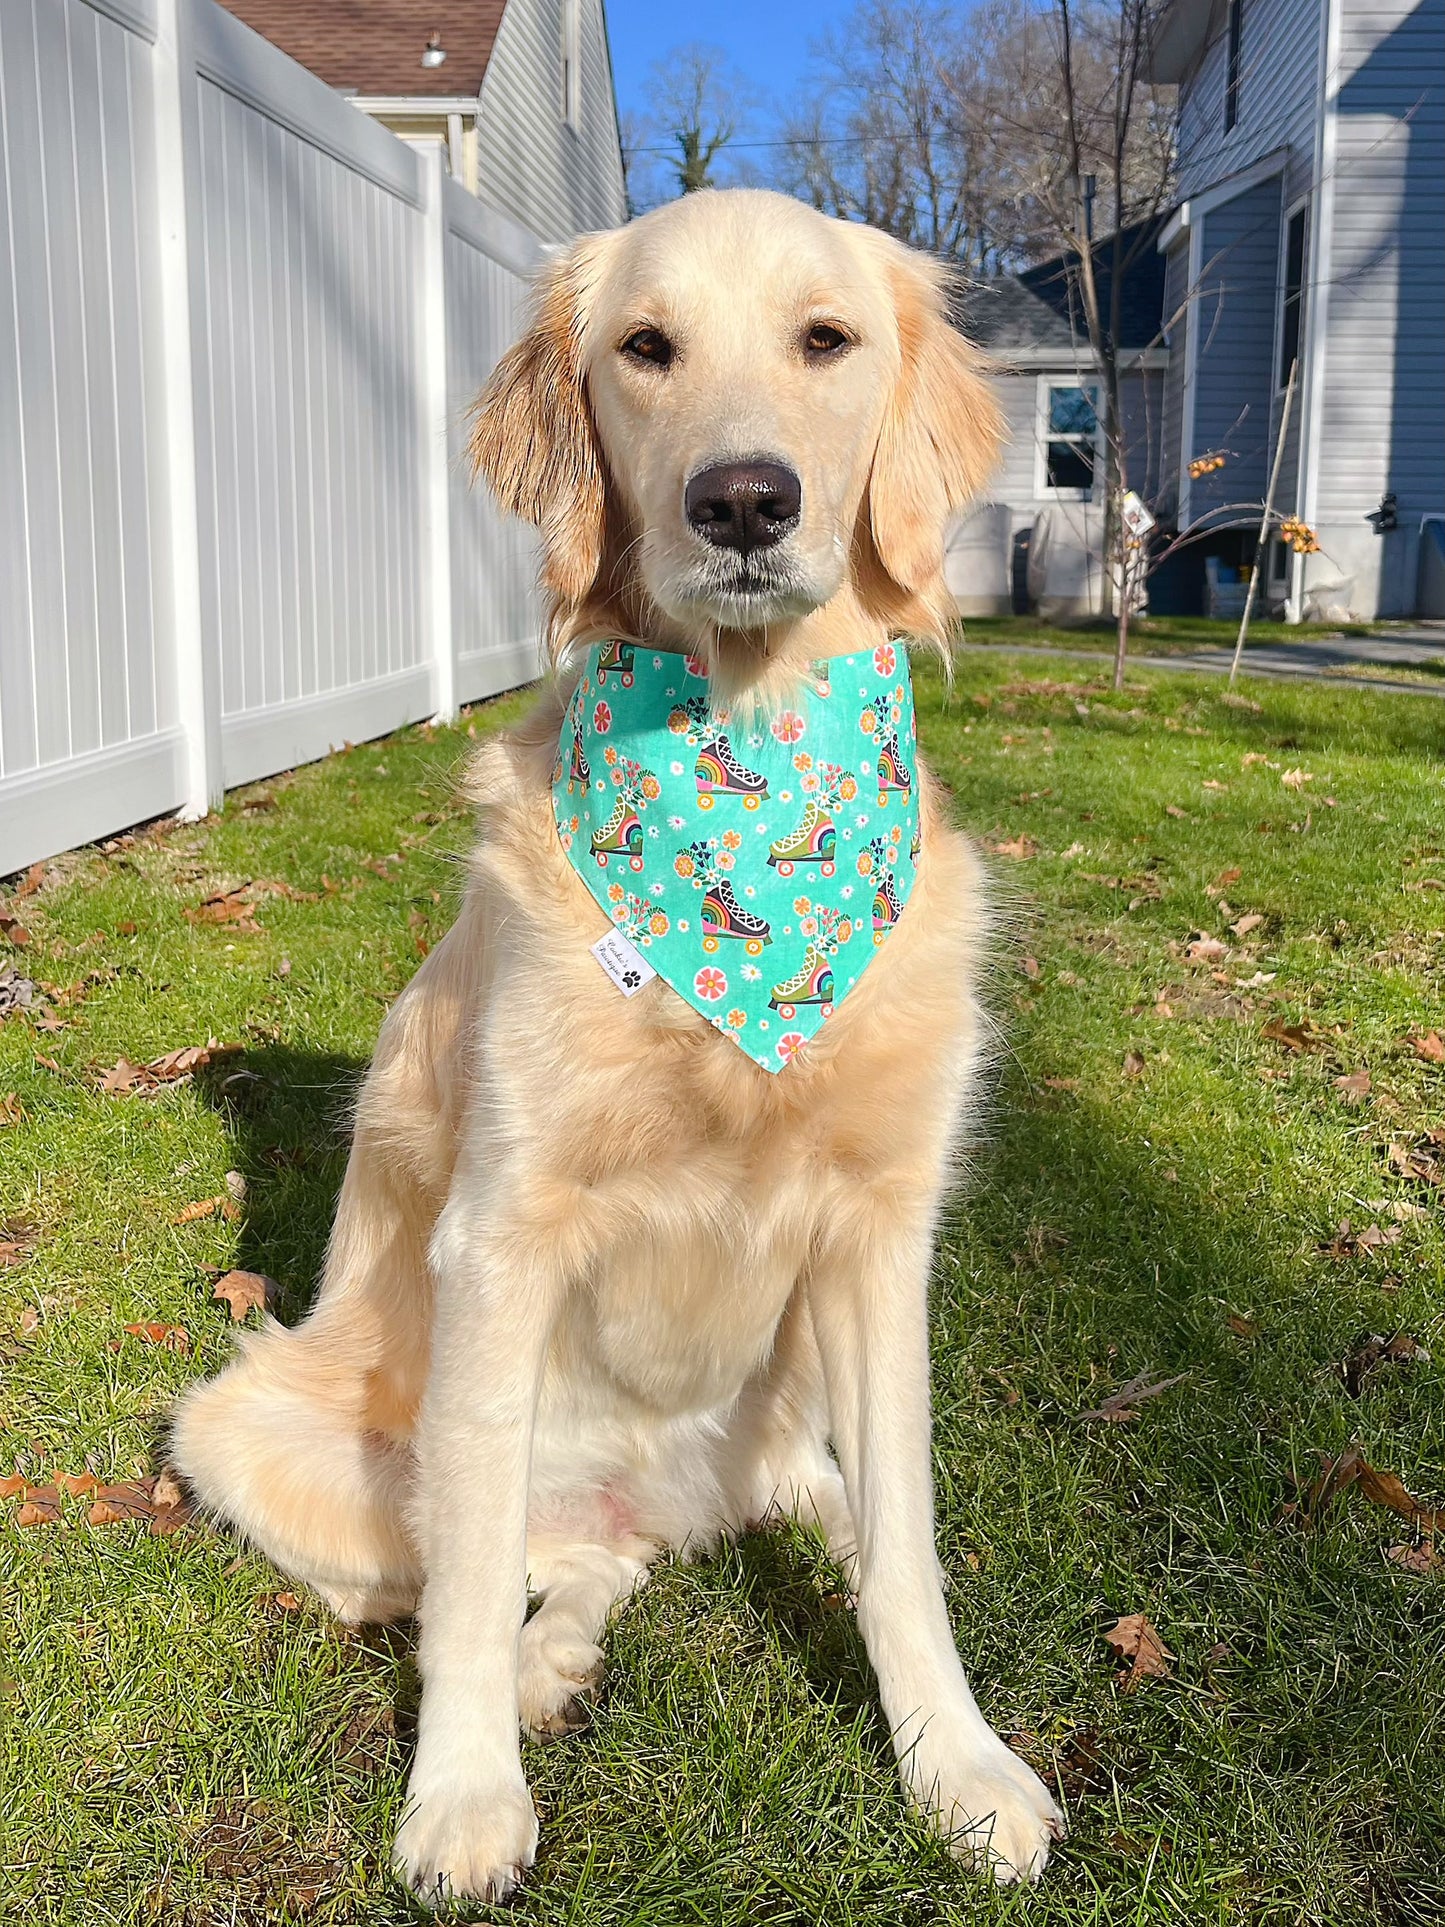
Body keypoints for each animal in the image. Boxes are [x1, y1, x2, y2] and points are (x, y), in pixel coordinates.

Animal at [175, 187, 1071, 1903]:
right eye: (646, 348)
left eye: (825, 338)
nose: (743, 499)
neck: (745, 767)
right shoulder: (501, 1233)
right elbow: (462, 1586)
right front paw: (462, 1792)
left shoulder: (881, 1236)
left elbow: (907, 1554)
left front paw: (957, 1761)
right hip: (247, 1425)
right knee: (502, 1561)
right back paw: (539, 1667)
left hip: (780, 1414)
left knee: (711, 1533)